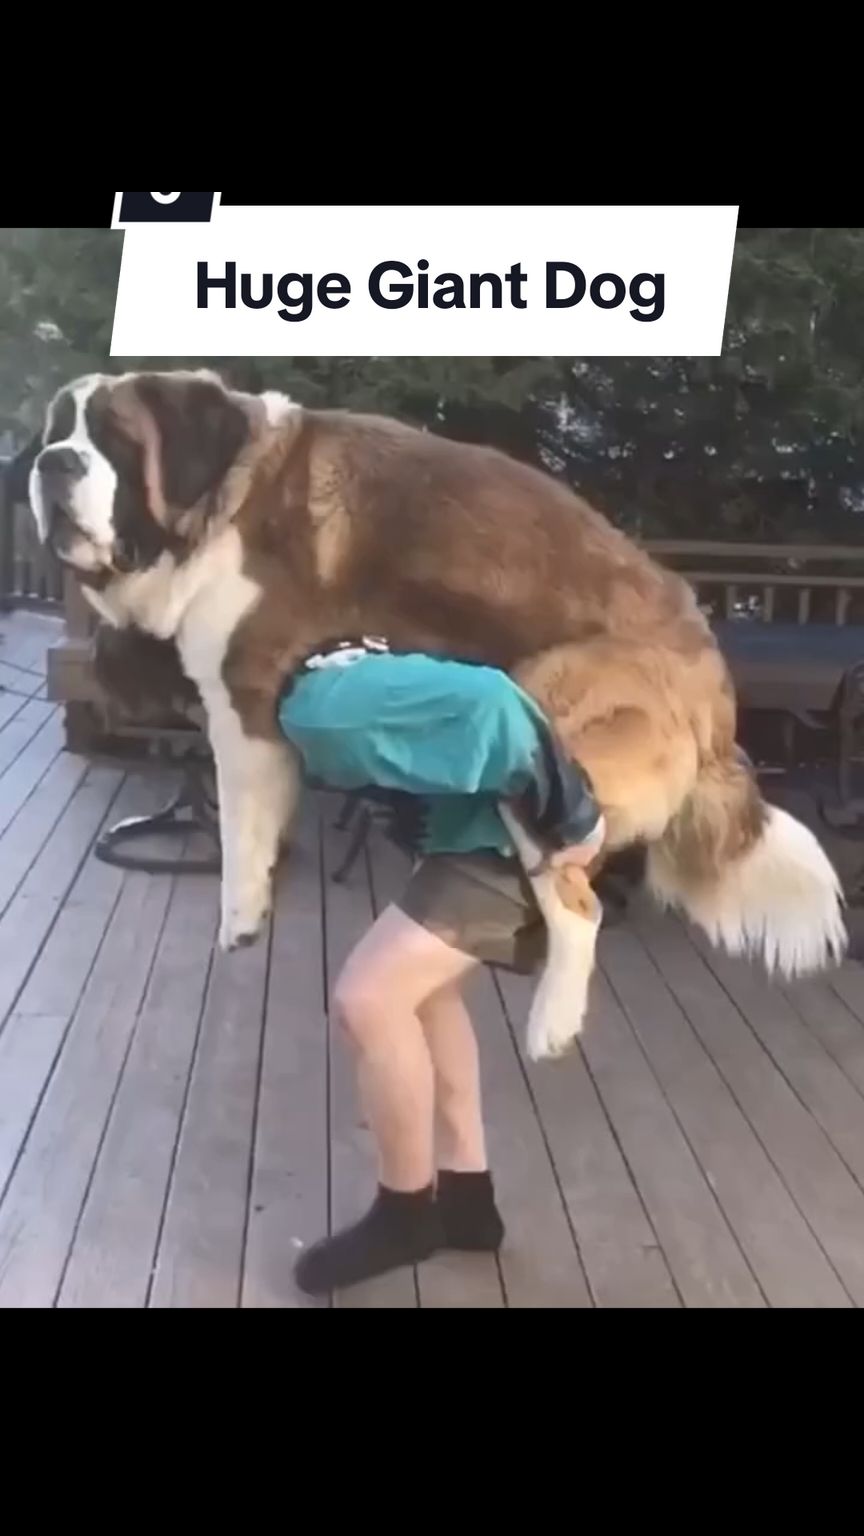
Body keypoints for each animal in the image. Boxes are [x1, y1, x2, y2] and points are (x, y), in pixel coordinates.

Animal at [25, 362, 842, 1056]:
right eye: (57, 431)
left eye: (116, 439)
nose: (49, 463)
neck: (223, 498)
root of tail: (715, 682)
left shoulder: (244, 703)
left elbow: (238, 830)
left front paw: (243, 914)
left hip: (549, 703)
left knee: (580, 903)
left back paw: (552, 1023)